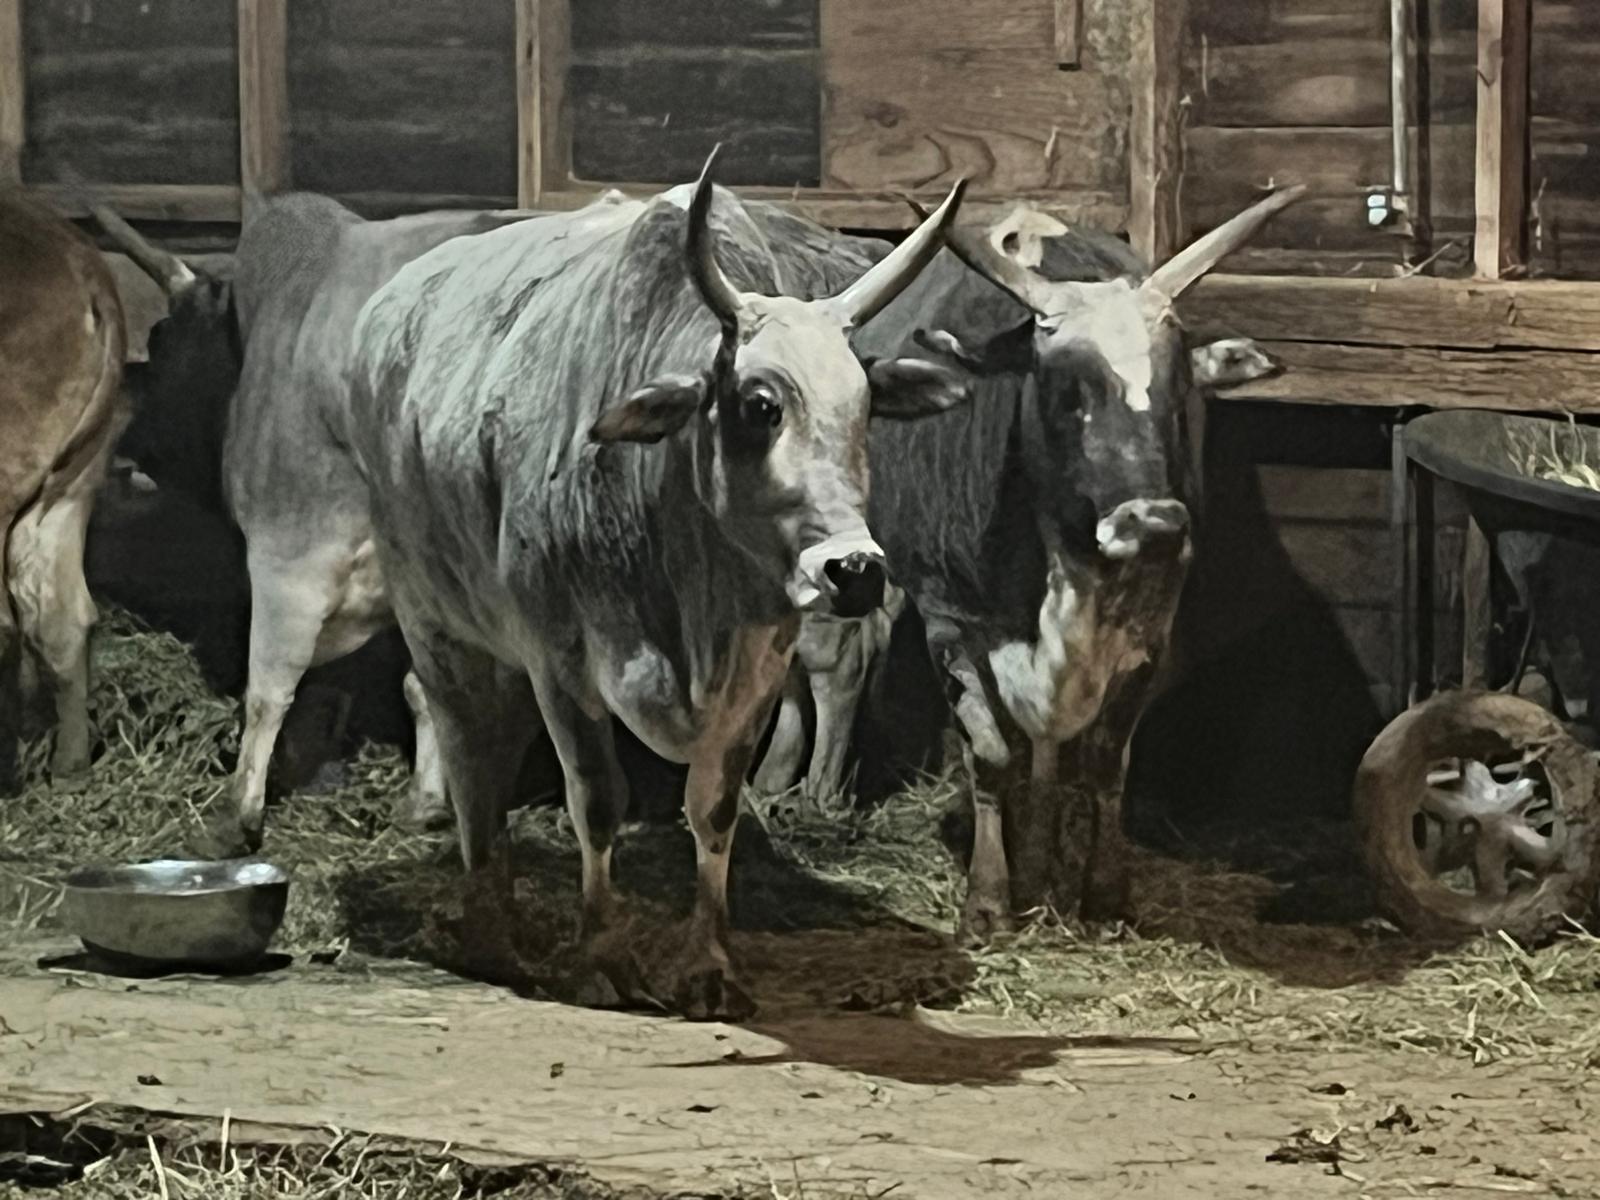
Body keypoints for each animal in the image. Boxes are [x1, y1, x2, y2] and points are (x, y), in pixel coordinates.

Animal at [92, 195, 536, 850]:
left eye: (162, 339)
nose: (130, 446)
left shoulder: (292, 554)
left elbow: (268, 691)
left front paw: (238, 816)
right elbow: (426, 689)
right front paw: (428, 802)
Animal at [340, 153, 969, 1017]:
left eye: (867, 405)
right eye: (760, 404)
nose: (853, 570)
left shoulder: (757, 669)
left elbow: (714, 808)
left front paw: (708, 964)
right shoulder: (561, 661)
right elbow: (597, 800)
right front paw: (601, 955)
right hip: (434, 620)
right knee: (470, 753)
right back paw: (488, 921)